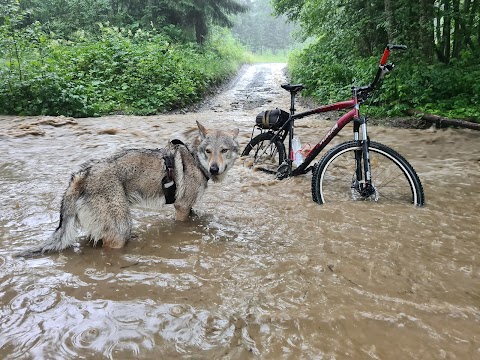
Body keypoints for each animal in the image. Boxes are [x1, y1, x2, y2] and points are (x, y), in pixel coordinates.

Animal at [15, 121, 239, 256]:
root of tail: (81, 174)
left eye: (224, 150)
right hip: (120, 229)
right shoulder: (182, 207)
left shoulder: (189, 208)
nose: (214, 168)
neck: (194, 157)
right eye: (208, 151)